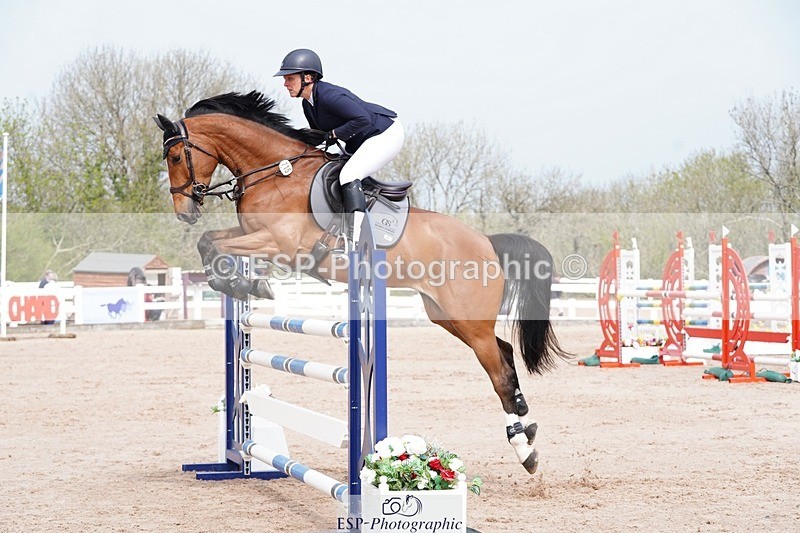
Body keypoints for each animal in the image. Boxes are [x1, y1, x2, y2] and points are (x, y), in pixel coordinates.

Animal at [154, 91, 568, 474]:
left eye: (174, 158)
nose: (185, 212)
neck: (274, 173)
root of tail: (486, 242)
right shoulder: (252, 235)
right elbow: (209, 241)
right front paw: (241, 284)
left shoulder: (279, 244)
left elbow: (212, 243)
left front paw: (247, 286)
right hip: (447, 316)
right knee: (505, 352)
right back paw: (526, 425)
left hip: (468, 319)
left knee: (499, 373)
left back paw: (525, 451)